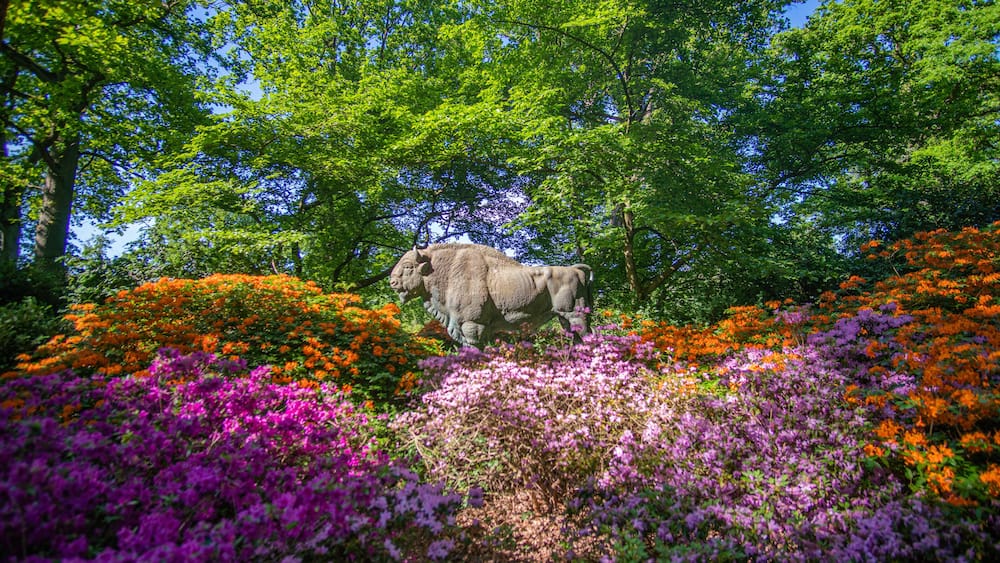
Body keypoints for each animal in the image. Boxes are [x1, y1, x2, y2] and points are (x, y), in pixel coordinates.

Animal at [388, 243, 593, 347]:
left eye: (408, 266)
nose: (392, 282)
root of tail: (576, 270)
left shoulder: (472, 326)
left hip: (575, 315)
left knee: (587, 335)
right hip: (563, 318)